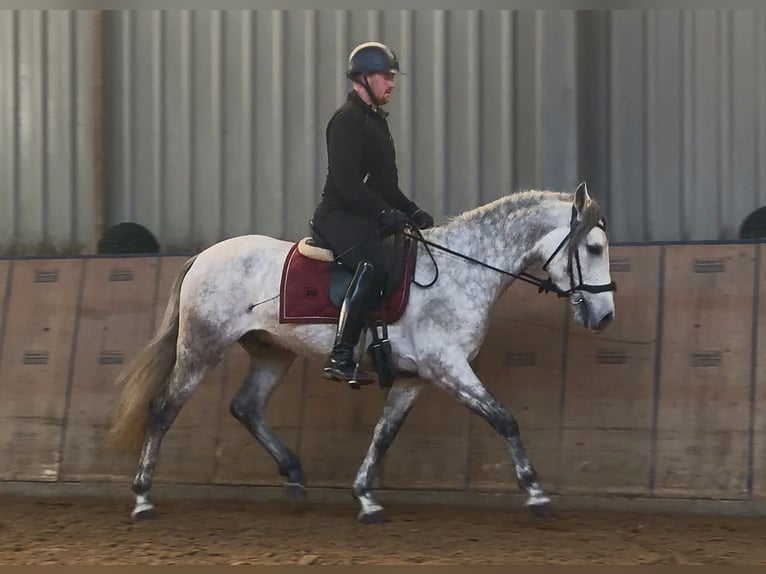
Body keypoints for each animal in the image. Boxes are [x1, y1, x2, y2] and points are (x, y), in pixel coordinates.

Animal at [107, 182, 616, 524]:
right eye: (593, 248)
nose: (605, 315)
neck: (461, 270)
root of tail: (203, 256)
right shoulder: (447, 366)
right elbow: (503, 418)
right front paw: (536, 495)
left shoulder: (415, 379)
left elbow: (383, 434)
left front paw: (366, 497)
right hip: (202, 345)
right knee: (163, 409)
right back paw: (143, 498)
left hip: (272, 351)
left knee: (246, 406)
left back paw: (294, 476)